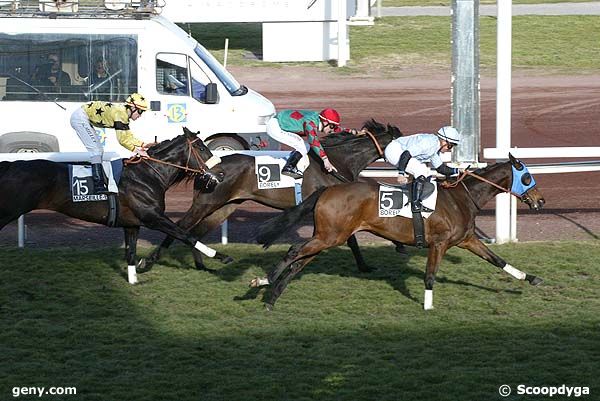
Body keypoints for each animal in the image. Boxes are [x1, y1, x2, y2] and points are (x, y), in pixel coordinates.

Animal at [0, 126, 225, 282]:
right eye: (202, 147)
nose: (222, 173)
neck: (147, 175)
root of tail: (9, 165)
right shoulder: (152, 217)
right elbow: (185, 235)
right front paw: (220, 257)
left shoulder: (132, 224)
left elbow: (131, 253)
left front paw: (134, 278)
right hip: (7, 212)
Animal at [141, 119, 404, 274]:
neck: (339, 163)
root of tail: (207, 168)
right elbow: (350, 239)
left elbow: (351, 239)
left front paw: (366, 264)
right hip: (206, 202)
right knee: (181, 227)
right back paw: (148, 262)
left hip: (225, 205)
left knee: (195, 232)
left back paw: (201, 264)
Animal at [251, 153, 548, 310]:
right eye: (527, 177)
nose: (541, 200)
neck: (462, 197)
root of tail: (327, 189)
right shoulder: (438, 244)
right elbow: (430, 275)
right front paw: (427, 306)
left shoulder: (466, 240)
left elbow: (498, 260)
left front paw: (531, 278)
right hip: (329, 236)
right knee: (293, 251)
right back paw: (262, 281)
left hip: (326, 237)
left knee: (298, 263)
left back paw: (272, 298)